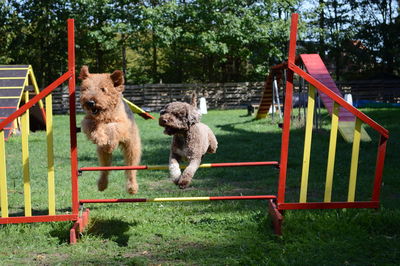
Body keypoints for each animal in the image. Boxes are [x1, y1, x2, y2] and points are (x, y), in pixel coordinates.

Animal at [78, 65, 141, 194]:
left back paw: (132, 187)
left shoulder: (122, 123)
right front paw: (100, 138)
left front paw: (108, 140)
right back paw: (102, 184)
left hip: (132, 149)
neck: (105, 114)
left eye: (103, 89)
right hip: (103, 154)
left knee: (131, 170)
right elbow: (94, 126)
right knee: (105, 169)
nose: (90, 102)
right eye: (86, 88)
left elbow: (111, 127)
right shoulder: (87, 120)